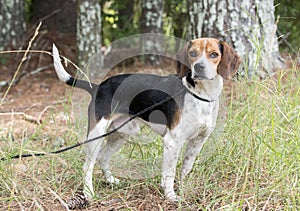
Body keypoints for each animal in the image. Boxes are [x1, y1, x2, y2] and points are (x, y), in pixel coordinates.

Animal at [52, 37, 241, 208]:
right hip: (97, 133)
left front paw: (183, 188)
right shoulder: (172, 141)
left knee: (102, 157)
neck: (201, 95)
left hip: (123, 132)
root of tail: (98, 86)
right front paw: (170, 196)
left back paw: (111, 180)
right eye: (193, 53)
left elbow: (186, 168)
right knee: (88, 165)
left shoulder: (199, 141)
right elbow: (170, 172)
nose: (199, 67)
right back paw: (89, 192)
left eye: (214, 54)